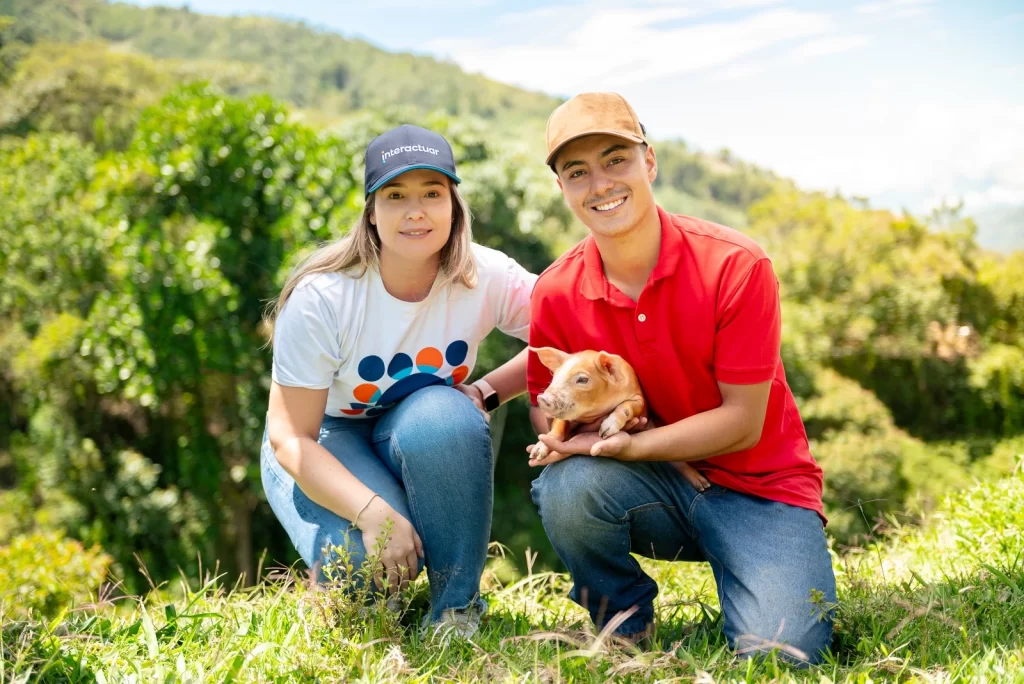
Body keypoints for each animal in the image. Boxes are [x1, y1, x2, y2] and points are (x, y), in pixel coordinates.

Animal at [529, 347, 710, 492]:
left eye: (582, 379)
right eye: (554, 377)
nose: (542, 398)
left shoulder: (639, 399)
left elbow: (626, 407)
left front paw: (605, 432)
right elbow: (557, 426)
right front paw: (536, 454)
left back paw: (703, 486)